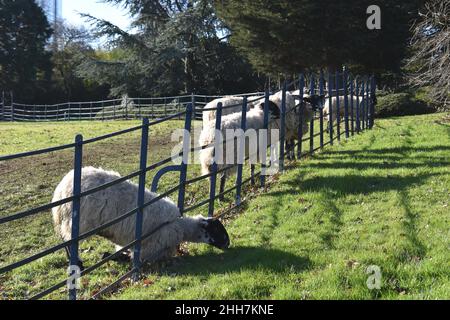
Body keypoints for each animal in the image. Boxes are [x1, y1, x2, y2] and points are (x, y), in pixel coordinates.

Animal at [51, 166, 230, 266]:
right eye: (216, 229)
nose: (228, 244)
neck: (180, 227)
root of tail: (62, 189)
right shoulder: (149, 250)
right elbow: (133, 258)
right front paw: (112, 257)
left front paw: (111, 256)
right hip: (77, 223)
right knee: (69, 242)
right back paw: (78, 263)